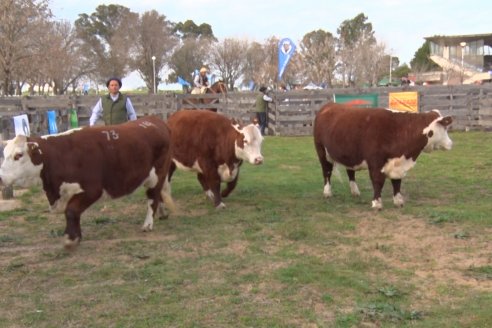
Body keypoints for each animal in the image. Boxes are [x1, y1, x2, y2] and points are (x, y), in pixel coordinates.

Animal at [0, 116, 173, 247]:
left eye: (18, 155)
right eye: (4, 154)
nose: (1, 178)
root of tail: (155, 120)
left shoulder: (92, 190)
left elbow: (71, 211)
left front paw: (71, 239)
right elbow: (73, 213)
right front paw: (76, 236)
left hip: (157, 175)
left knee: (152, 197)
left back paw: (148, 224)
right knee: (158, 195)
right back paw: (162, 213)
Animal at [314, 104, 452, 209]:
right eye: (445, 129)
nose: (451, 143)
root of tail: (329, 105)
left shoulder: (397, 164)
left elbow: (397, 182)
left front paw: (398, 201)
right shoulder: (375, 162)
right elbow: (378, 181)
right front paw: (377, 203)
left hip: (349, 154)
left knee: (350, 172)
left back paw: (355, 192)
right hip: (322, 152)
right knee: (326, 172)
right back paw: (327, 192)